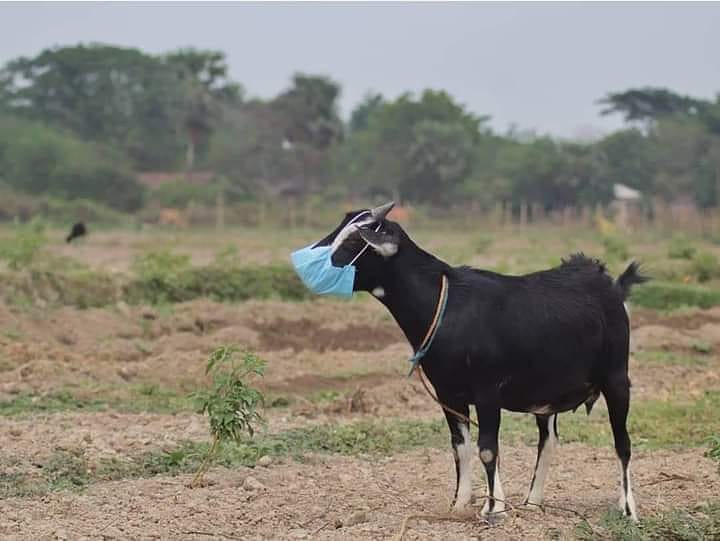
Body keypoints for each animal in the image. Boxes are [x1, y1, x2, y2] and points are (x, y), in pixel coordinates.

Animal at [314, 202, 648, 520]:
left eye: (354, 241)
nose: (317, 265)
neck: (447, 305)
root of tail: (609, 282)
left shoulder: (488, 389)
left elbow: (487, 449)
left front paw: (493, 510)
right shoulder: (449, 393)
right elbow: (460, 447)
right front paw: (460, 504)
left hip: (617, 377)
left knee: (623, 444)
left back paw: (628, 509)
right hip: (548, 392)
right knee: (549, 440)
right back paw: (532, 502)